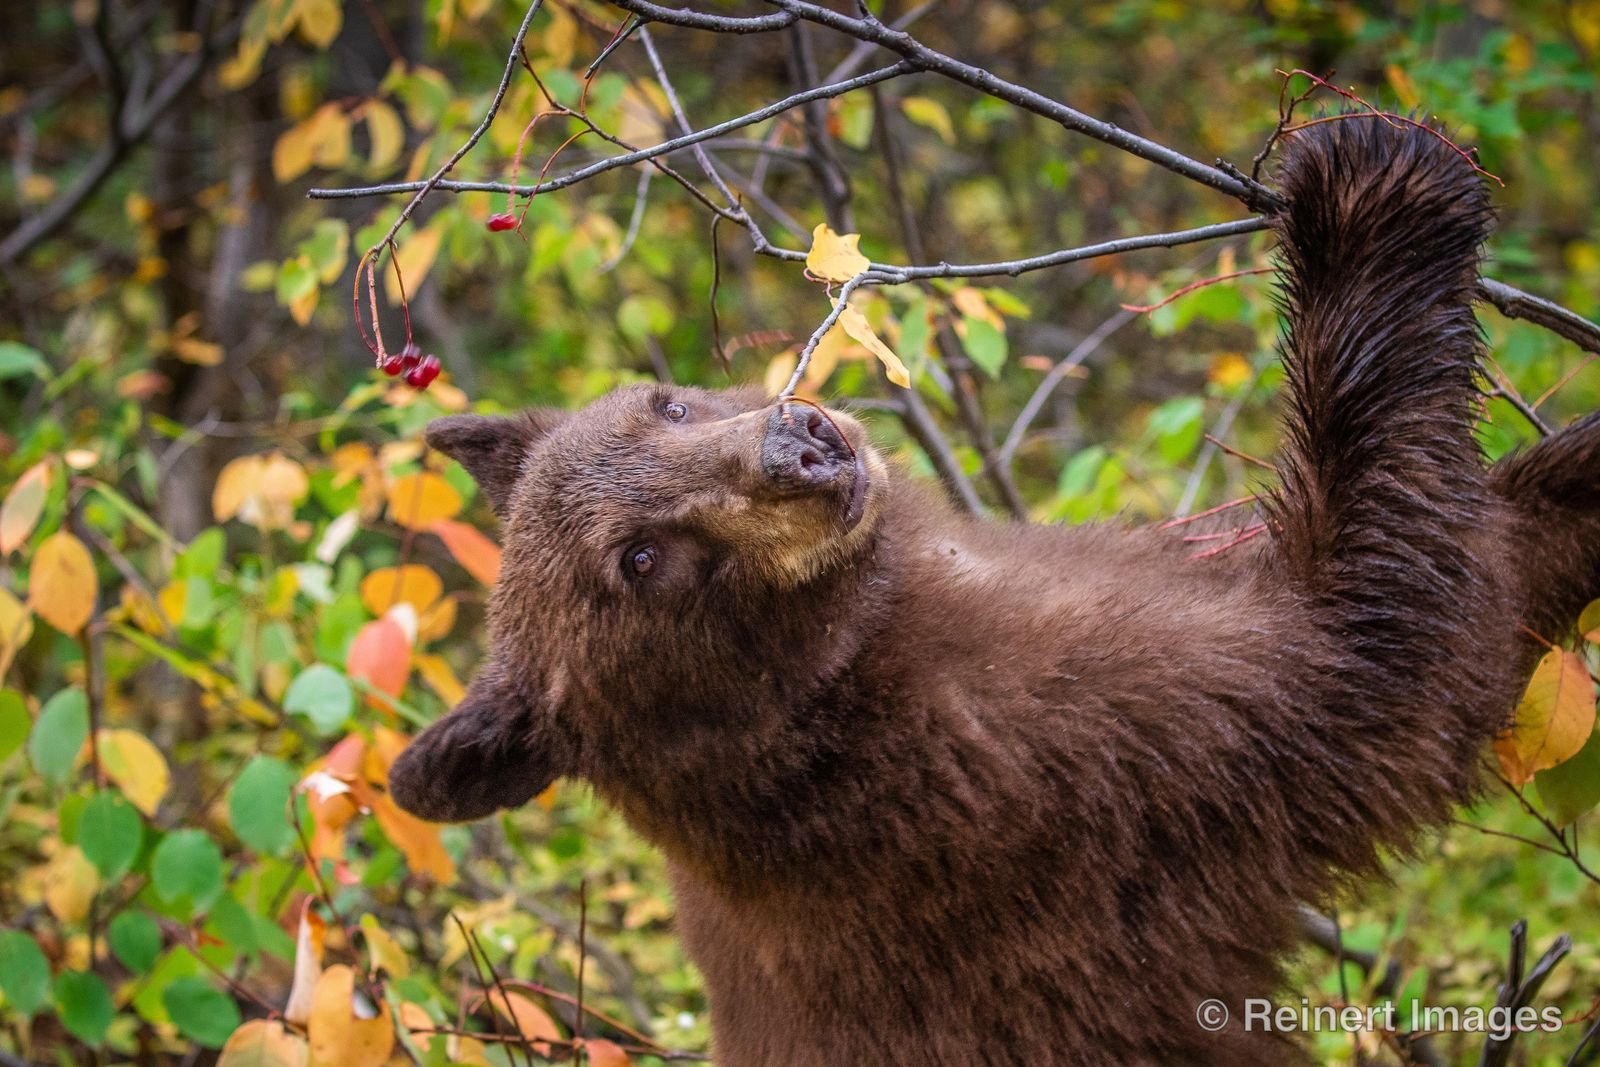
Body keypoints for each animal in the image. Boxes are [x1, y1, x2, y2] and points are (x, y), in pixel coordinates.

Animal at [389, 116, 1600, 1065]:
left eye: (665, 402)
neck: (820, 683)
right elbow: (1383, 649)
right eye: (643, 559)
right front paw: (1373, 185)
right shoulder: (1053, 766)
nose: (803, 447)